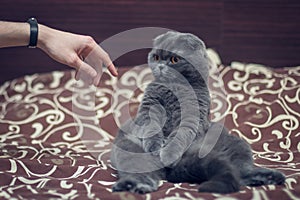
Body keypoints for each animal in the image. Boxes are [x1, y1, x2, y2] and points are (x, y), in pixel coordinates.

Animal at [110, 31, 286, 194]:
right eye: (156, 57)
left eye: (174, 60)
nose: (160, 66)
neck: (176, 87)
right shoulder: (150, 103)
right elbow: (151, 125)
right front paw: (156, 147)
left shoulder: (193, 114)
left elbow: (181, 134)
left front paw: (167, 155)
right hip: (129, 149)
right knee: (141, 173)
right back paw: (134, 185)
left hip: (233, 142)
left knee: (242, 171)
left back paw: (271, 177)